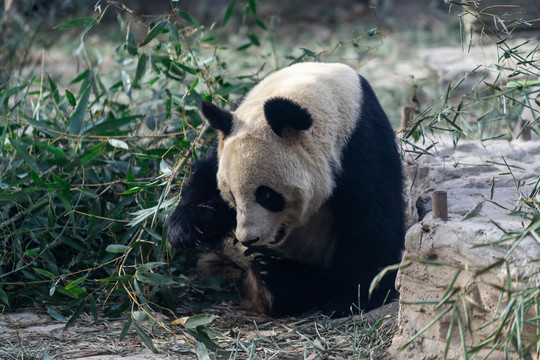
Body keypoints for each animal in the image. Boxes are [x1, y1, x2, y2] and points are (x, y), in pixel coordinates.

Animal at [169, 63, 404, 316]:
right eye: (232, 194)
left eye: (266, 195)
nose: (248, 239)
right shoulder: (226, 142)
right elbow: (206, 178)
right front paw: (186, 229)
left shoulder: (360, 144)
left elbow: (373, 219)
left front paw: (354, 297)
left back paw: (272, 278)